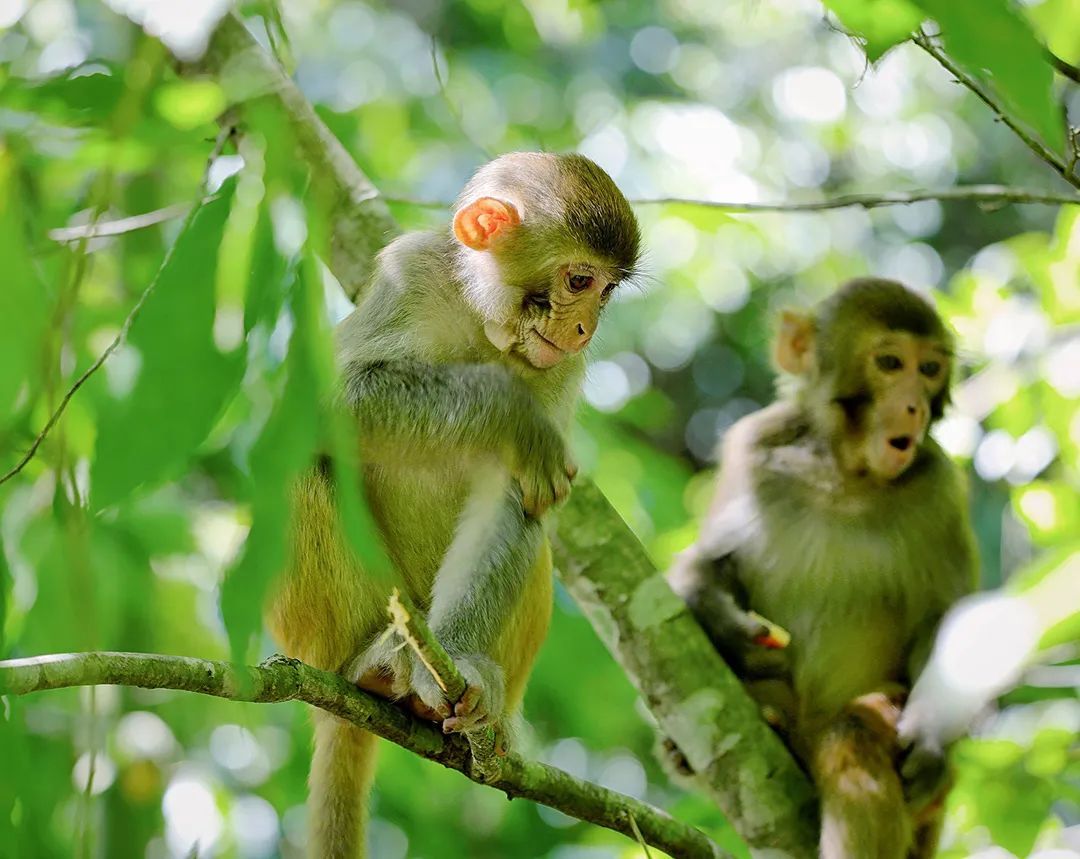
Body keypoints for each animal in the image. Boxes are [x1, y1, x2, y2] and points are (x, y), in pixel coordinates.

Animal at [266, 151, 639, 855]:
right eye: (580, 279)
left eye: (606, 293)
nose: (585, 329)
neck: (483, 323)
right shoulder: (405, 272)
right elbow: (332, 402)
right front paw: (512, 414)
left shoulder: (558, 369)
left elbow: (517, 494)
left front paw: (464, 660)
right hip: (319, 629)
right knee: (307, 454)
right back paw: (368, 667)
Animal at [665, 278, 980, 859]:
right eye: (890, 362)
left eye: (929, 369)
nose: (914, 407)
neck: (844, 474)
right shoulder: (752, 450)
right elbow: (711, 561)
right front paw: (723, 620)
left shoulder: (941, 491)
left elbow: (942, 624)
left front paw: (927, 738)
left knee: (855, 733)